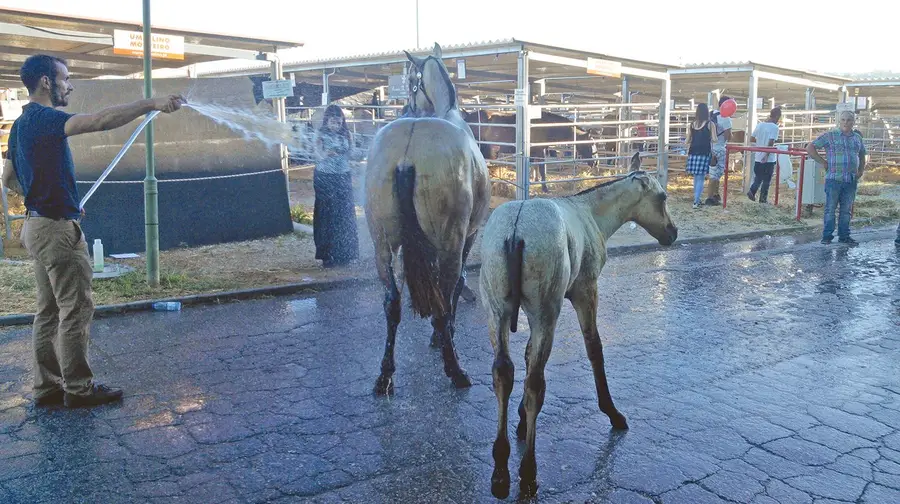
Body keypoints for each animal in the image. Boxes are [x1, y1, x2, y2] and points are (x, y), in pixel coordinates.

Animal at [364, 43, 492, 396]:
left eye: (410, 81)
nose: (405, 107)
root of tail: (409, 150)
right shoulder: (468, 237)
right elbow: (455, 286)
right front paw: (442, 335)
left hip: (382, 245)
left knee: (392, 302)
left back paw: (385, 375)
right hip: (451, 242)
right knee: (444, 296)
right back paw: (455, 369)